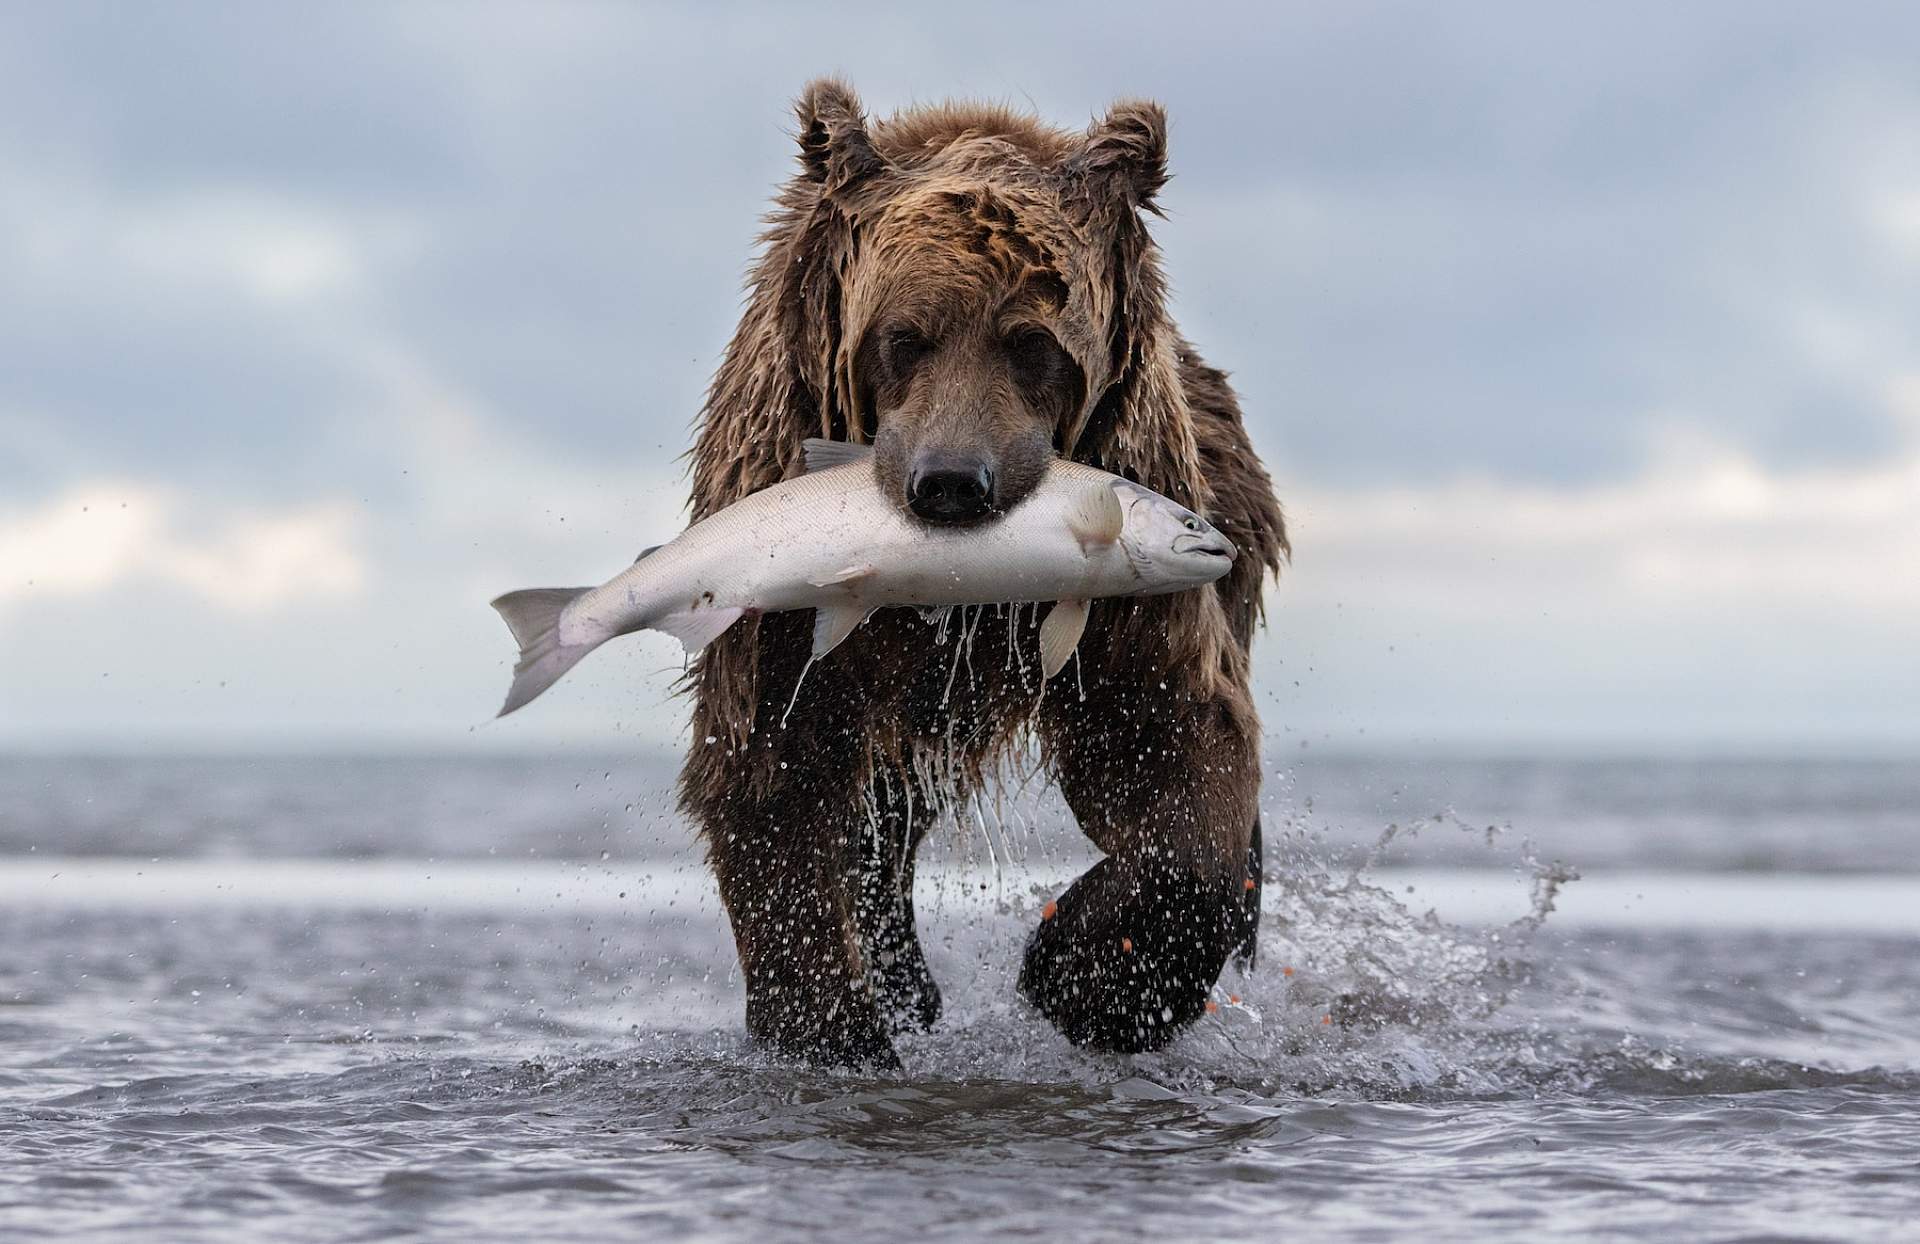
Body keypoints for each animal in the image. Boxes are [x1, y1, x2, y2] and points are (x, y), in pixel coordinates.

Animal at [683, 80, 1282, 1067]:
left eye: (1031, 340)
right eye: (903, 336)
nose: (953, 483)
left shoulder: (1133, 592)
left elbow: (1172, 744)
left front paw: (1082, 979)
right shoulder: (776, 566)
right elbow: (774, 768)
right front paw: (833, 1033)